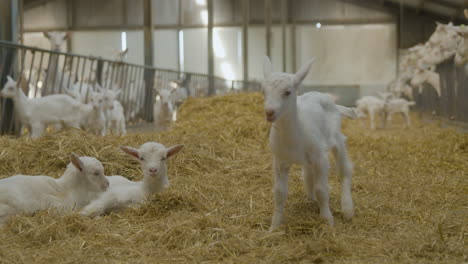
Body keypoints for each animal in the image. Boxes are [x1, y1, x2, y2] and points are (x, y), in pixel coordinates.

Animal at [264, 56, 354, 231]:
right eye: (264, 91)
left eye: (287, 92)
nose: (269, 112)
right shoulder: (280, 161)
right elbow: (279, 193)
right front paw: (274, 226)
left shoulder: (320, 157)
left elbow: (321, 189)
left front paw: (327, 220)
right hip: (308, 158)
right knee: (308, 174)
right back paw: (311, 199)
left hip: (336, 139)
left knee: (344, 171)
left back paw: (347, 208)